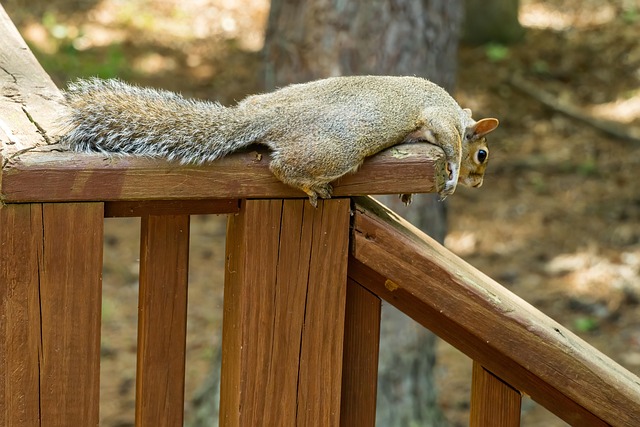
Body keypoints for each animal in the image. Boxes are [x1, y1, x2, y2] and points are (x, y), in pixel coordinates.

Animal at [60, 76, 499, 206]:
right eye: (482, 154)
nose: (479, 184)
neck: (458, 114)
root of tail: (264, 117)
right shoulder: (439, 115)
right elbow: (448, 145)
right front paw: (453, 176)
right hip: (339, 151)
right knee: (281, 167)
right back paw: (310, 186)